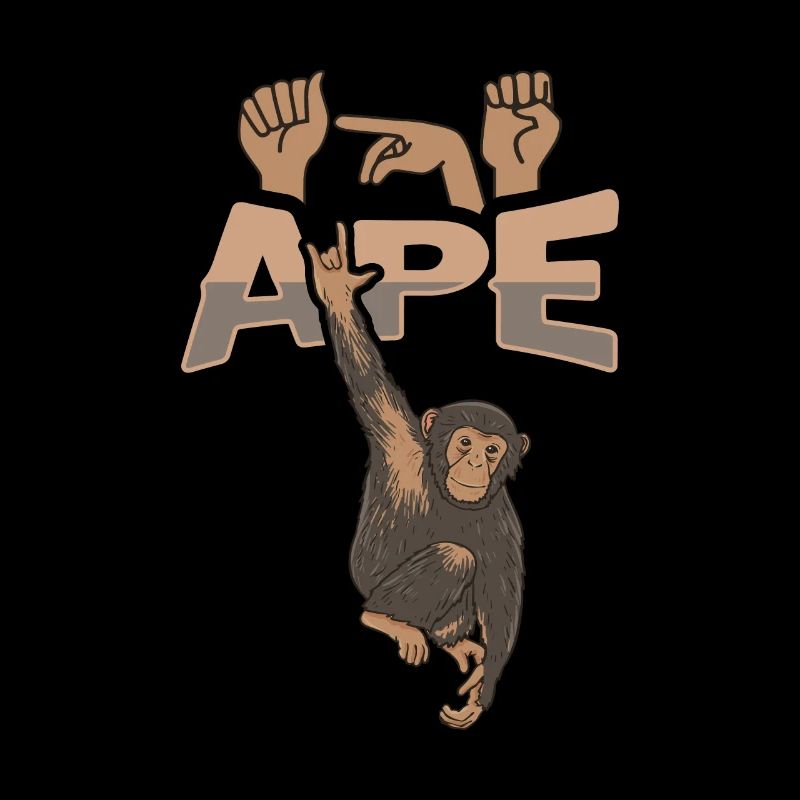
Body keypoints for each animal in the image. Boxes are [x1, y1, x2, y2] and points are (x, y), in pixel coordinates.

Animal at [306, 223, 529, 730]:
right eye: (465, 443)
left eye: (492, 449)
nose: (476, 464)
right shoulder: (396, 437)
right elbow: (365, 375)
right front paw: (338, 289)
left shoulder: (500, 513)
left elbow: (501, 591)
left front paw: (481, 692)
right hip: (378, 591)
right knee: (453, 558)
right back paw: (385, 620)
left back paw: (457, 643)